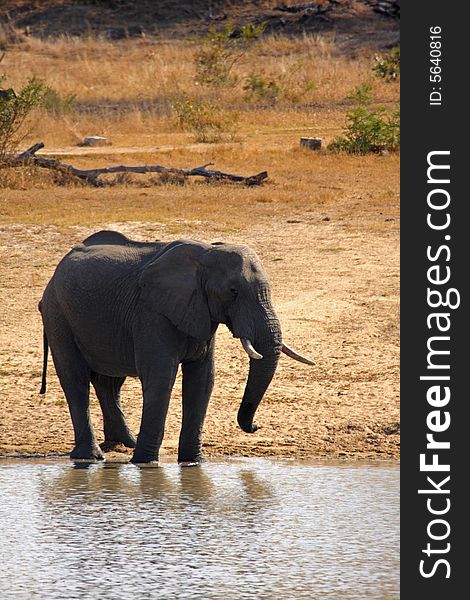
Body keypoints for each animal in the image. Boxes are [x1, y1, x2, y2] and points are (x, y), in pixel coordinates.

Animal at [38, 231, 314, 464]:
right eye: (233, 291)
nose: (255, 427)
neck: (206, 253)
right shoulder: (152, 311)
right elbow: (161, 377)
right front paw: (145, 464)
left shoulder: (201, 312)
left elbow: (202, 380)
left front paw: (194, 463)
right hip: (58, 313)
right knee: (75, 379)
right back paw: (91, 457)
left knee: (109, 382)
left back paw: (124, 444)